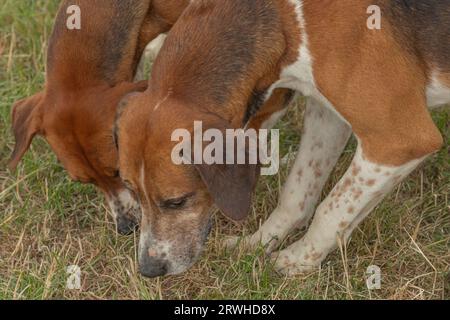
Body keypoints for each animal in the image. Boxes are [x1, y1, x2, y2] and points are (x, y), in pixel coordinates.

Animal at [115, 0, 446, 278]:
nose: (149, 269)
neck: (287, 18)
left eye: (177, 201)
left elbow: (331, 209)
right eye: (132, 191)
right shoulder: (327, 114)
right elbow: (298, 192)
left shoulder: (398, 140)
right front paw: (257, 244)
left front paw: (294, 262)